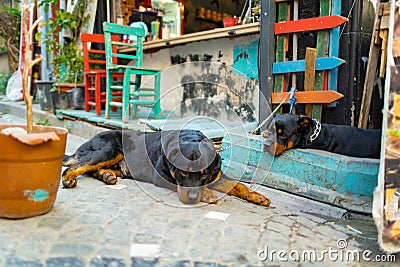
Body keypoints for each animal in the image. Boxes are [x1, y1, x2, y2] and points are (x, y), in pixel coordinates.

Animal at [62, 130, 270, 207]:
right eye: (183, 172)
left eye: (204, 175)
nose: (193, 199)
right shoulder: (161, 176)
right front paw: (208, 194)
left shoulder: (217, 175)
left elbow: (238, 185)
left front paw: (257, 196)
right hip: (109, 150)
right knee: (78, 166)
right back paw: (68, 178)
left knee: (92, 170)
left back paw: (107, 175)